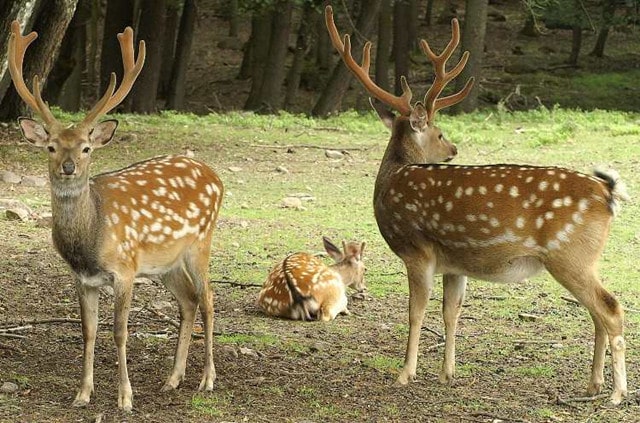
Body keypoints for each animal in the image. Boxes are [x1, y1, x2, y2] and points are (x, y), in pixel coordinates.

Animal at [5, 20, 222, 414]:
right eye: (51, 146)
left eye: (86, 148)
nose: (68, 167)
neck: (91, 240)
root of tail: (215, 176)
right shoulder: (83, 278)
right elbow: (88, 331)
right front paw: (82, 394)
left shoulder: (124, 269)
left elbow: (120, 332)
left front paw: (125, 397)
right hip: (165, 264)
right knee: (188, 301)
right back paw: (172, 379)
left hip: (201, 243)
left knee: (209, 298)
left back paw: (207, 380)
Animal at [328, 4, 628, 406]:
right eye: (441, 133)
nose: (453, 149)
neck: (393, 178)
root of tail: (607, 192)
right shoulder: (455, 263)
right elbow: (450, 312)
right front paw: (447, 374)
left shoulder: (417, 249)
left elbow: (415, 311)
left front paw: (405, 374)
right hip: (584, 258)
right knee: (597, 311)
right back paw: (593, 384)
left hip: (569, 253)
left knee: (610, 308)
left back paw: (616, 393)